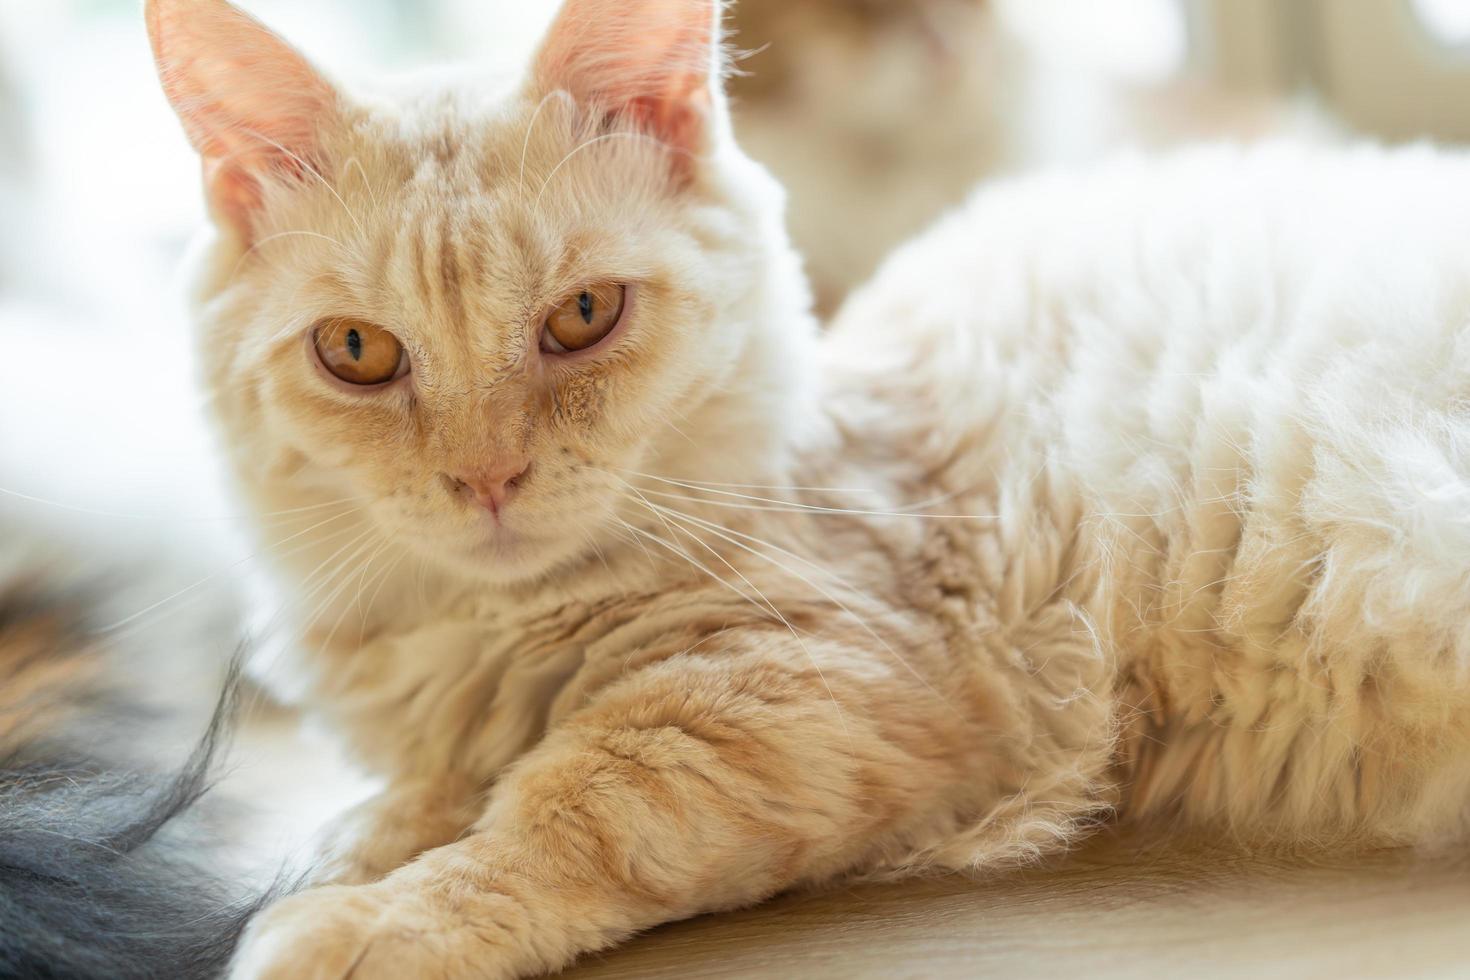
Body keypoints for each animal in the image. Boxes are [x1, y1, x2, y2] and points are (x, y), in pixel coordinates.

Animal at [146, 0, 1470, 975]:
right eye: (358, 352)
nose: (487, 479)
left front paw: (366, 920)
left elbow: (557, 807)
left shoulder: (807, 677)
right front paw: (327, 860)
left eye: (583, 316)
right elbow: (393, 805)